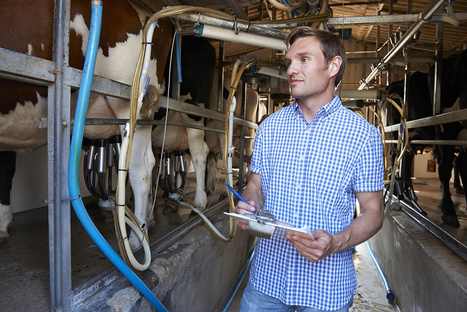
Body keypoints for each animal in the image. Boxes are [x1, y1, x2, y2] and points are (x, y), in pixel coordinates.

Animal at [386, 50, 467, 228]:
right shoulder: (446, 132)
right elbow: (445, 168)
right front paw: (448, 211)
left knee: (406, 158)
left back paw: (409, 194)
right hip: (396, 132)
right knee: (395, 154)